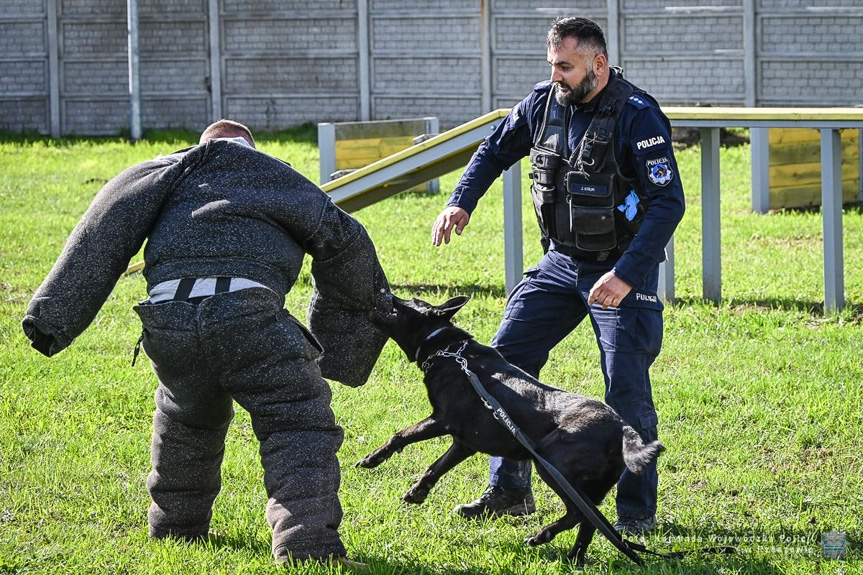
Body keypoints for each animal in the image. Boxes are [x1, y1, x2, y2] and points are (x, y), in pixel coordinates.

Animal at [356, 296, 660, 564]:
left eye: (407, 301)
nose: (389, 293)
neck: (451, 352)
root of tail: (622, 428)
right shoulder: (464, 443)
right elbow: (436, 467)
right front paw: (418, 492)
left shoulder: (442, 420)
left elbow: (401, 435)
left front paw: (372, 459)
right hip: (588, 484)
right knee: (591, 522)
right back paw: (575, 558)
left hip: (552, 466)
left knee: (579, 515)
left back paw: (542, 535)